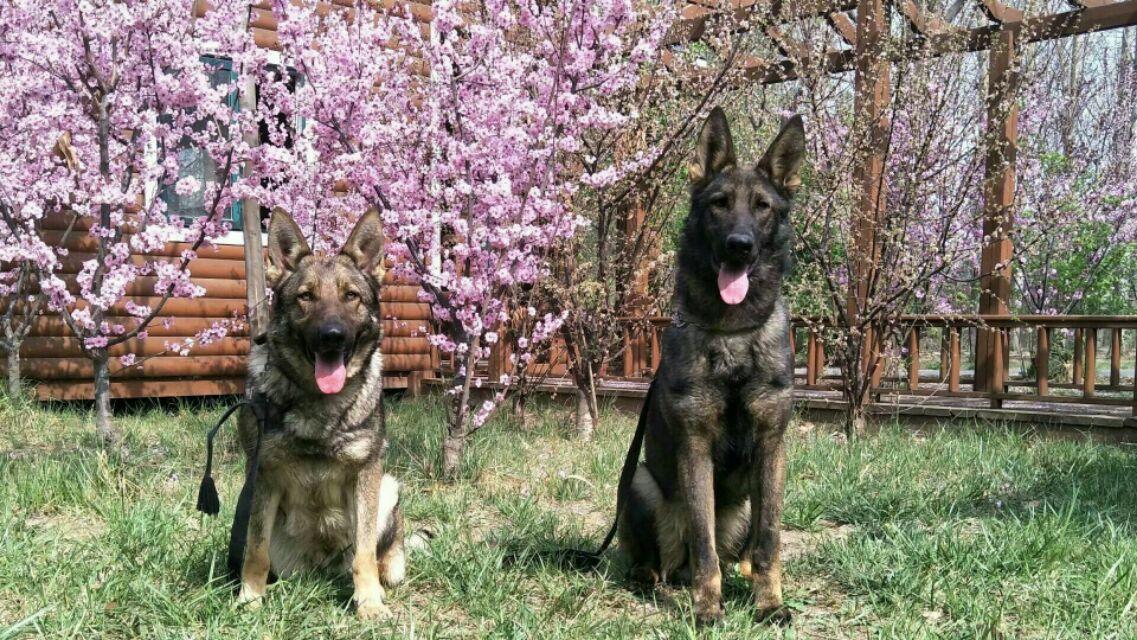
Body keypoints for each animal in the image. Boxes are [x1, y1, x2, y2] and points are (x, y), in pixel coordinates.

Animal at [228, 207, 405, 620]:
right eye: (306, 297)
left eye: (351, 296)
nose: (332, 336)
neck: (318, 403)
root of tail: (322, 567)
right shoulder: (262, 476)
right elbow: (255, 551)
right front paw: (250, 599)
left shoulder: (366, 473)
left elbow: (364, 555)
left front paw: (369, 603)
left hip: (388, 488)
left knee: (380, 553)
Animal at [613, 107, 804, 625]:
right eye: (719, 203)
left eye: (762, 206)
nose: (740, 245)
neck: (732, 332)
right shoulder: (694, 446)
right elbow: (704, 545)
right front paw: (706, 608)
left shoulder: (771, 446)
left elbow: (770, 539)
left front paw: (769, 603)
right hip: (639, 483)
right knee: (655, 557)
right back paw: (654, 580)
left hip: (743, 502)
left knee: (742, 545)